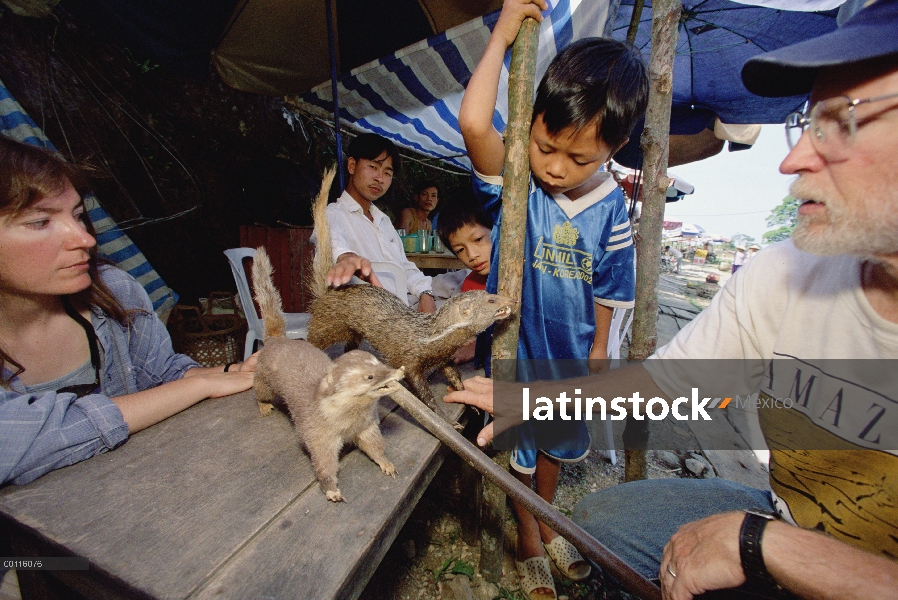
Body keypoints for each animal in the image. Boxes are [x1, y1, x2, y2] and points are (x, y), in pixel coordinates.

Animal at [250, 170, 400, 502]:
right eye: (369, 376)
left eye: (377, 362)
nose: (396, 371)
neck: (346, 423)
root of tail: (278, 338)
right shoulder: (318, 435)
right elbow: (323, 463)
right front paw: (331, 490)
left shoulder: (367, 427)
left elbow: (375, 446)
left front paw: (387, 464)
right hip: (263, 376)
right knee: (259, 390)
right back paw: (264, 406)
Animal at [306, 169, 512, 410]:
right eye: (491, 300)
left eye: (490, 293)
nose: (512, 300)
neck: (431, 337)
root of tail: (327, 291)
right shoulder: (409, 359)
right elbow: (421, 390)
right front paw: (442, 414)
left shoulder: (442, 357)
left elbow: (454, 375)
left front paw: (469, 401)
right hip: (326, 326)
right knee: (312, 340)